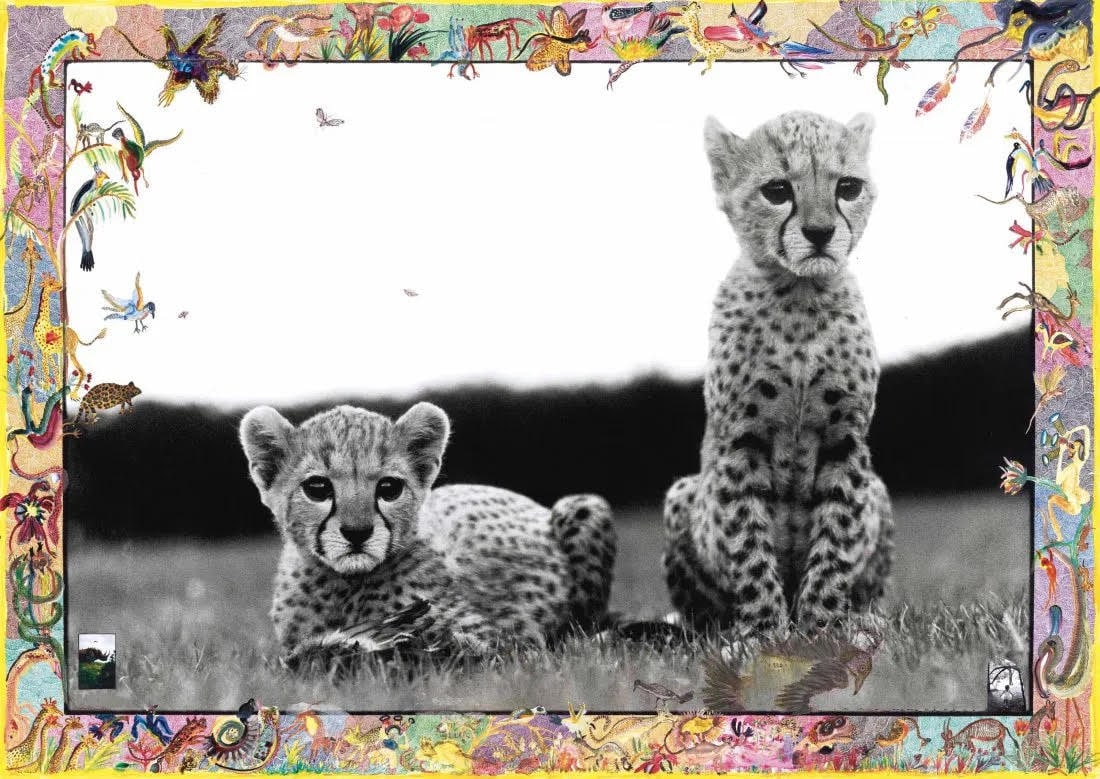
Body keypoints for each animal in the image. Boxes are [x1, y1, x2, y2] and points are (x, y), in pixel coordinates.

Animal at [239, 401, 617, 662]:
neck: (345, 585)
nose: (357, 532)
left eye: (389, 488)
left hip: (583, 506)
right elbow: (301, 655)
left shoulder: (511, 642)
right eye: (317, 488)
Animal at [662, 110, 893, 637]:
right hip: (683, 493)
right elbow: (747, 542)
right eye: (776, 190)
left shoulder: (847, 441)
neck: (799, 295)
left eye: (847, 187)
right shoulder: (739, 443)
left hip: (879, 490)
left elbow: (837, 538)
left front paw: (821, 629)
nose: (820, 231)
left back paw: (866, 618)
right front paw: (765, 633)